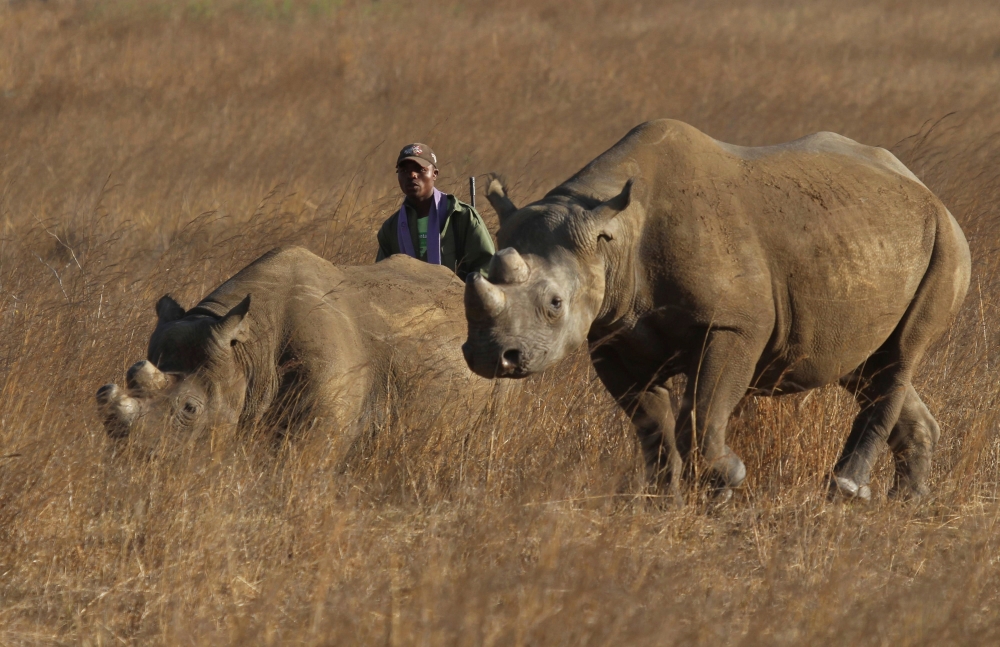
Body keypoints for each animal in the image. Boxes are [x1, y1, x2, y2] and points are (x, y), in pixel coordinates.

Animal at [464, 119, 971, 501]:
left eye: (555, 304)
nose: (492, 355)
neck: (613, 237)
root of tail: (925, 187)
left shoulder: (734, 325)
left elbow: (704, 408)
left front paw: (724, 482)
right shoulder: (611, 333)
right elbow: (650, 422)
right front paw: (661, 499)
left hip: (945, 242)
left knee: (900, 356)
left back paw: (848, 490)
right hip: (869, 238)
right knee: (864, 365)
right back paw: (904, 501)